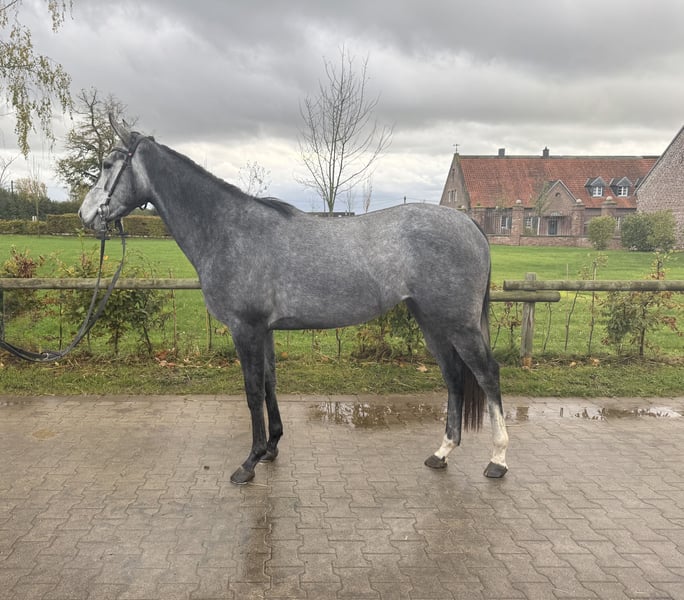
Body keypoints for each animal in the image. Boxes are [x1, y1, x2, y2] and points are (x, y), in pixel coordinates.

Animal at [79, 119, 509, 485]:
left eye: (106, 164)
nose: (84, 215)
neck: (228, 229)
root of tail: (469, 224)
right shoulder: (264, 331)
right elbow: (270, 384)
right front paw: (271, 447)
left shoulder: (246, 329)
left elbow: (252, 391)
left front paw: (249, 463)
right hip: (432, 322)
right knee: (454, 377)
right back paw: (442, 453)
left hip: (458, 324)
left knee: (487, 374)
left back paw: (498, 460)